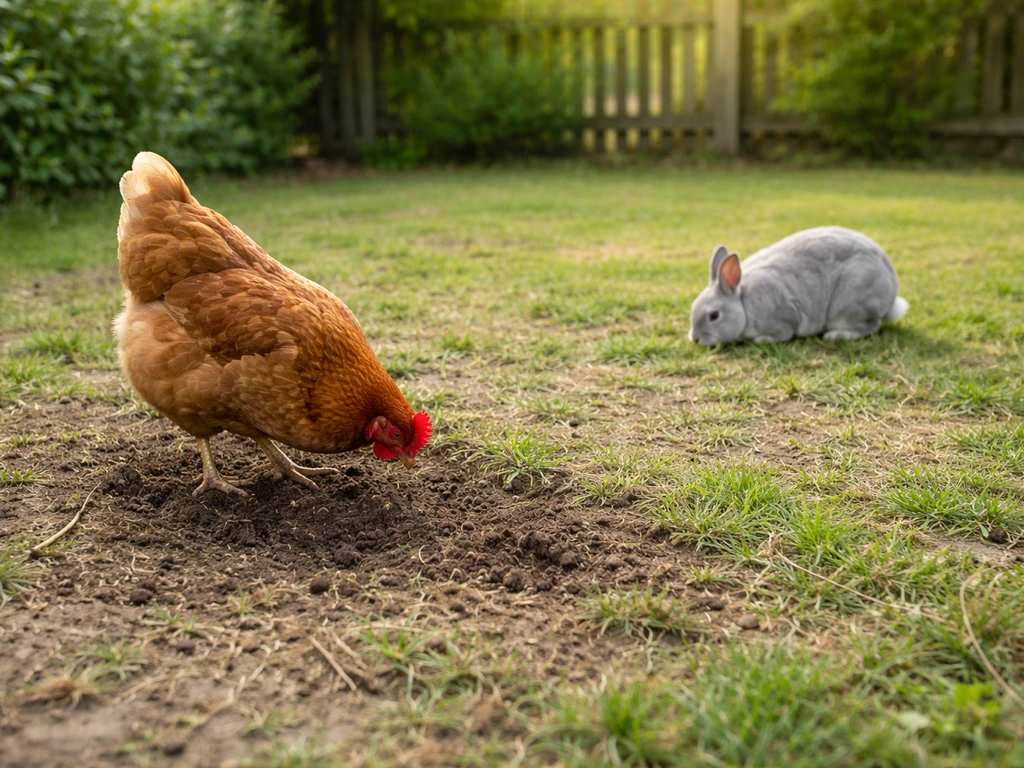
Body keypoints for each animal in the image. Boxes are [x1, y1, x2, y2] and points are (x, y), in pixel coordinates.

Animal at [688, 226, 909, 346]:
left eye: (714, 316)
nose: (696, 339)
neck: (743, 303)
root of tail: (892, 293)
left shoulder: (784, 320)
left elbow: (782, 334)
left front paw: (760, 340)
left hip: (851, 304)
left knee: (870, 326)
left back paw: (835, 335)